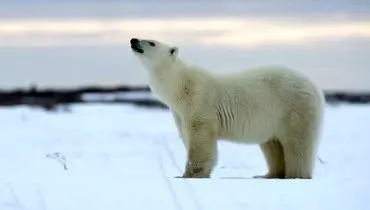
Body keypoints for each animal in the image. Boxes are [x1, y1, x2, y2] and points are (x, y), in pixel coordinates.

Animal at [129, 37, 324, 179]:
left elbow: (200, 138)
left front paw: (190, 174)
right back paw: (268, 175)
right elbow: (186, 135)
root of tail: (316, 88)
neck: (180, 85)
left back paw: (295, 175)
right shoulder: (179, 113)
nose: (133, 39)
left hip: (294, 108)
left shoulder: (199, 102)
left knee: (297, 144)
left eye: (152, 42)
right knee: (273, 145)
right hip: (274, 119)